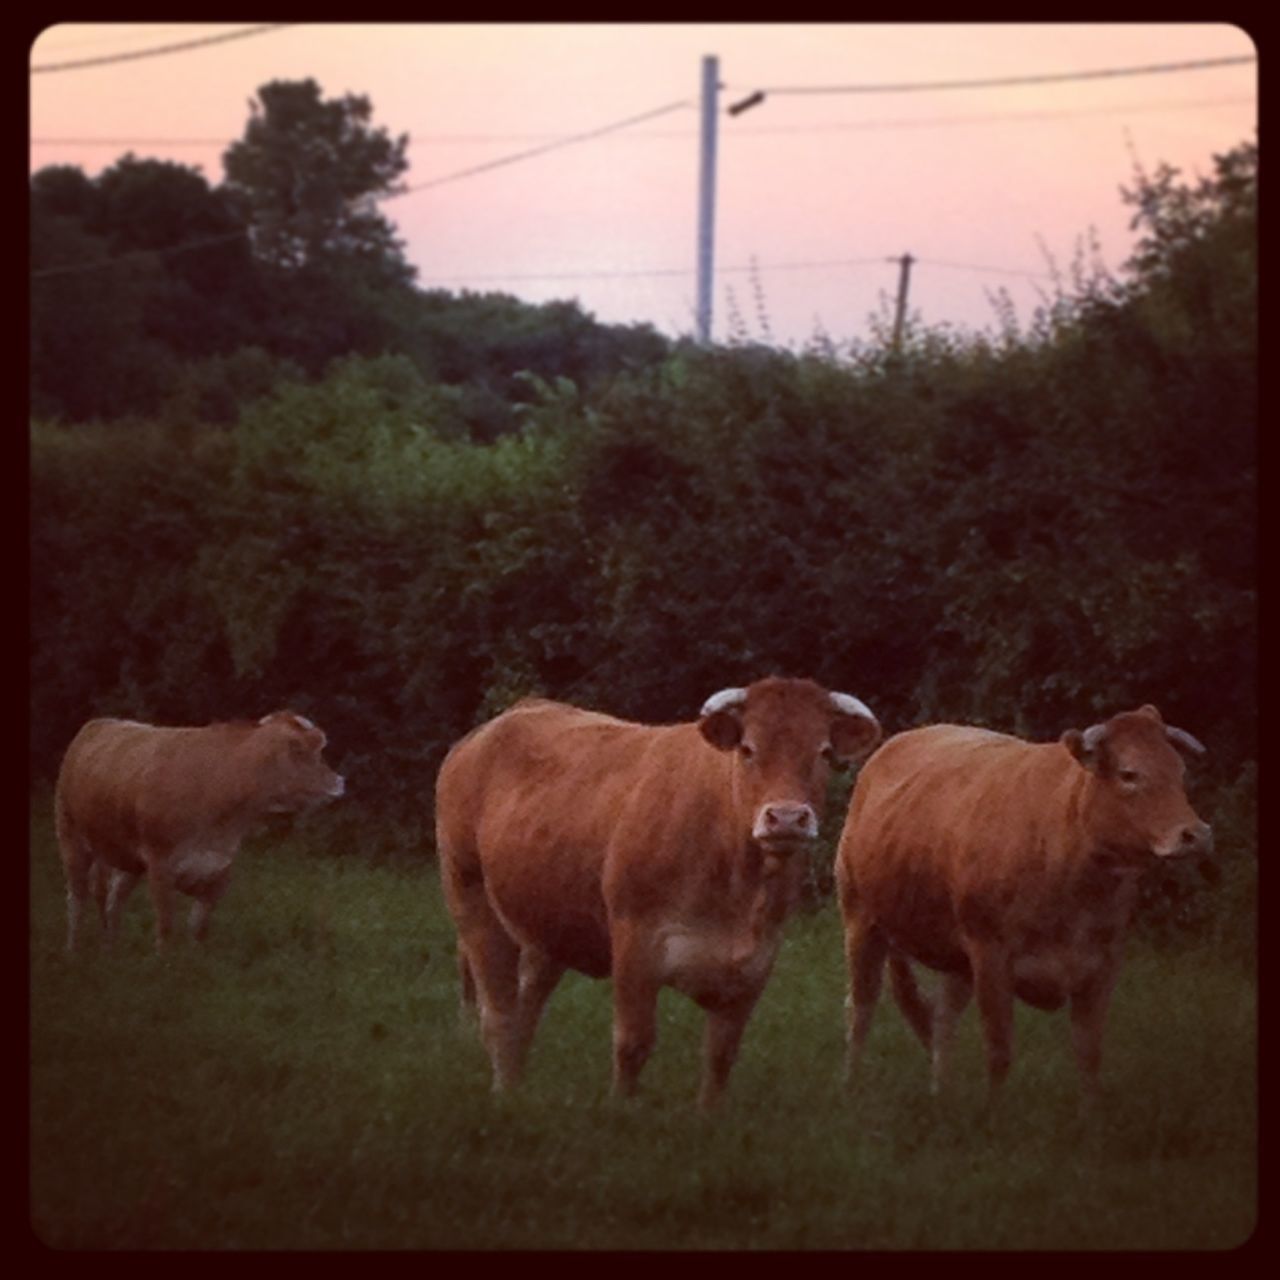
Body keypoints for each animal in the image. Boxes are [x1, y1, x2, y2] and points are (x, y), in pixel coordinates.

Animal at [55, 711, 345, 952]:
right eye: (309, 751)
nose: (340, 781)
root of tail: (99, 723)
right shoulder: (160, 867)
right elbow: (166, 926)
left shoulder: (216, 870)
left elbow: (199, 928)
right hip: (71, 839)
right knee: (76, 899)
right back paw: (73, 951)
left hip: (128, 861)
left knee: (113, 900)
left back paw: (110, 950)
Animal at [437, 680, 880, 1111]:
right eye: (748, 749)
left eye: (823, 752)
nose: (786, 818)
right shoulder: (636, 945)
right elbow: (633, 1044)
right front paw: (621, 1110)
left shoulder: (754, 963)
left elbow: (720, 1056)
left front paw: (707, 1118)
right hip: (470, 895)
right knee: (498, 1012)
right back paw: (504, 1094)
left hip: (548, 925)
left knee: (526, 1006)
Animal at [834, 701, 1213, 1100]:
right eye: (1129, 774)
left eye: (1180, 770)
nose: (1196, 834)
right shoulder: (991, 956)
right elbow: (999, 1050)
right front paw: (993, 1110)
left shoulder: (1103, 963)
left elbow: (1089, 1053)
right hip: (861, 918)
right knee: (860, 1007)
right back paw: (851, 1084)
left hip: (955, 955)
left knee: (942, 1018)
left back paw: (943, 1092)